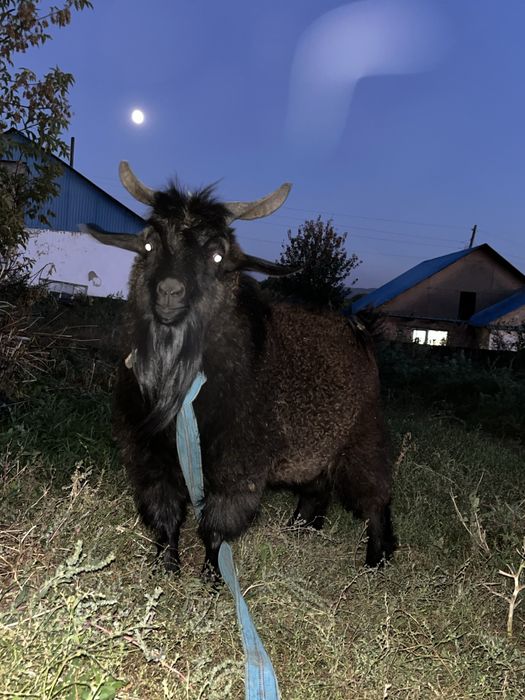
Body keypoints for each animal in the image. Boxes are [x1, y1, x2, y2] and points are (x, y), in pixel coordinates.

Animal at [81, 163, 396, 577]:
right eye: (148, 245)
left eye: (218, 256)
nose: (170, 291)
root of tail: (360, 330)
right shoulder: (148, 453)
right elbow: (165, 515)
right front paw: (165, 569)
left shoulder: (238, 466)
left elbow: (217, 525)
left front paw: (212, 578)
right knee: (316, 487)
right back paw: (300, 529)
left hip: (362, 436)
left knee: (375, 495)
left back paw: (377, 557)